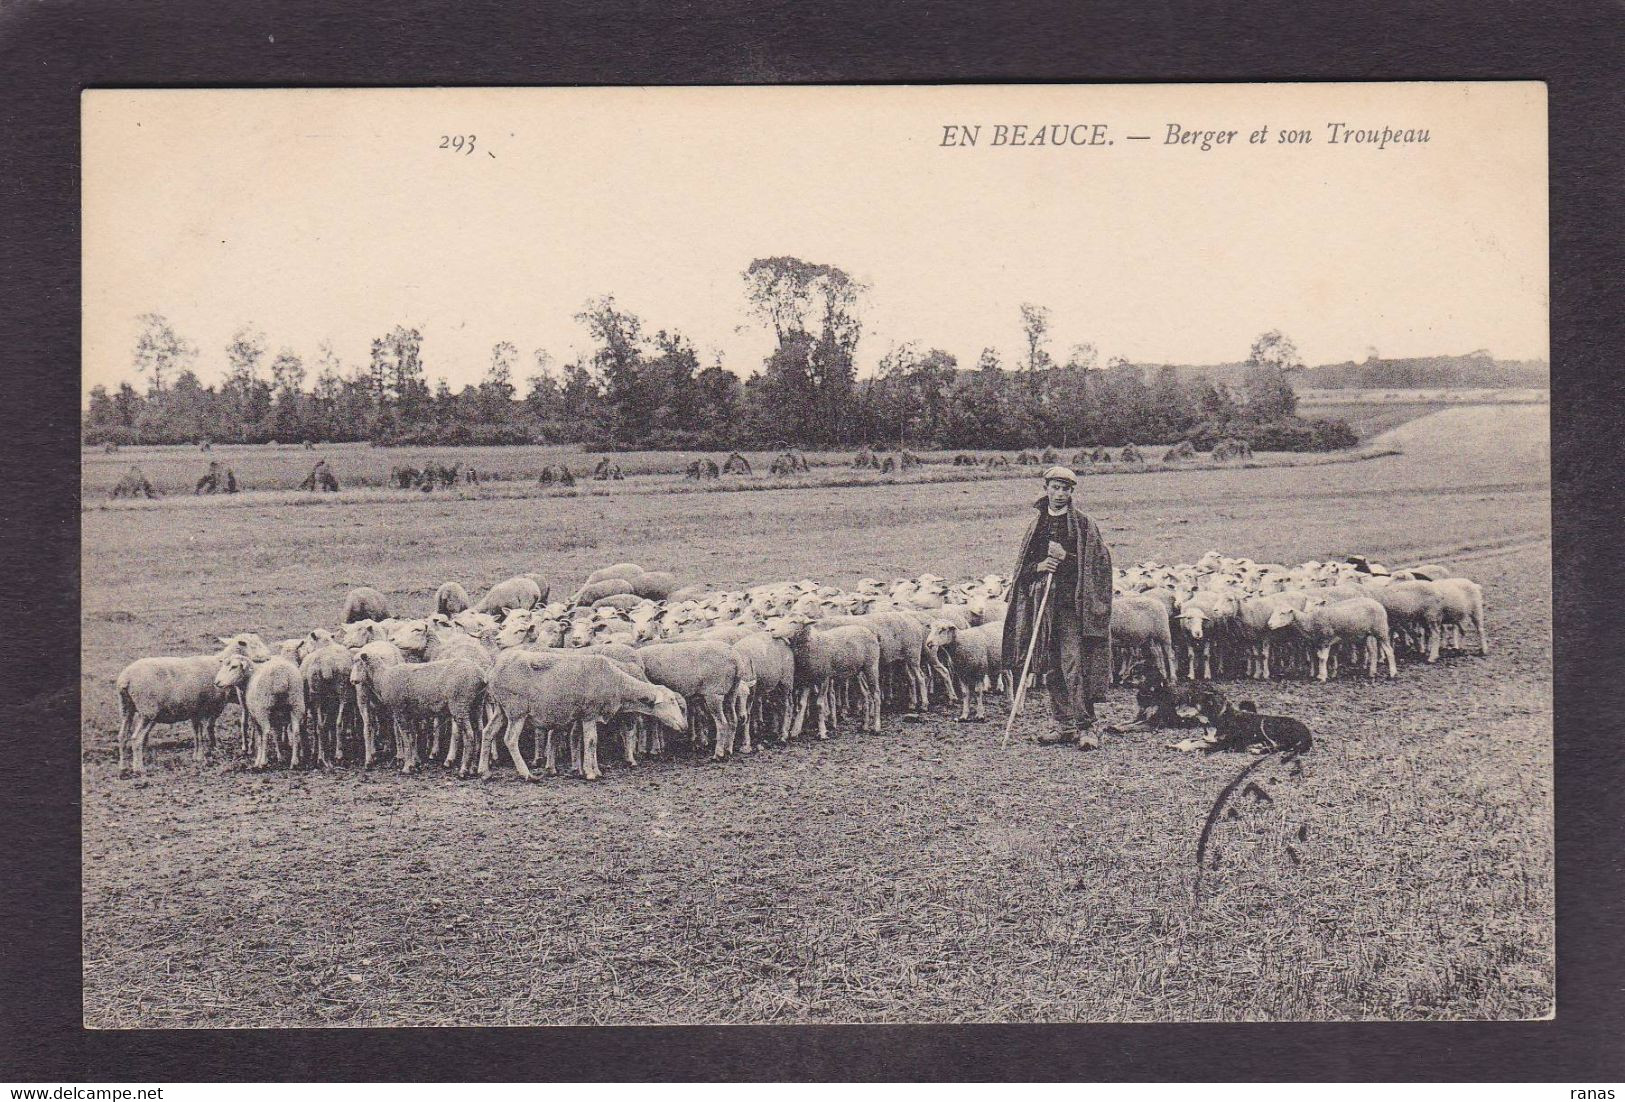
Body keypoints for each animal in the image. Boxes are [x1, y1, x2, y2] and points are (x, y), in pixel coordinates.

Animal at [477, 653, 689, 780]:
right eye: (671, 701)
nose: (684, 726)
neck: (617, 683)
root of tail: (493, 667)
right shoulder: (589, 714)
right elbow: (591, 741)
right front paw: (591, 773)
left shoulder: (584, 716)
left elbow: (585, 740)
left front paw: (592, 769)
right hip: (516, 710)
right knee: (510, 739)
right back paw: (526, 774)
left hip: (501, 709)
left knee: (488, 732)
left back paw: (484, 771)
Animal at [1267, 594, 1397, 682]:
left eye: (1282, 613)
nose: (1269, 624)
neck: (1310, 620)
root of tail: (1378, 604)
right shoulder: (1319, 641)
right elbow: (1319, 657)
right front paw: (1321, 674)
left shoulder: (1326, 639)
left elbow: (1323, 658)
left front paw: (1322, 676)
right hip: (1368, 634)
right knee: (1373, 652)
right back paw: (1371, 673)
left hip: (1381, 630)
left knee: (1389, 651)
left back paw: (1392, 673)